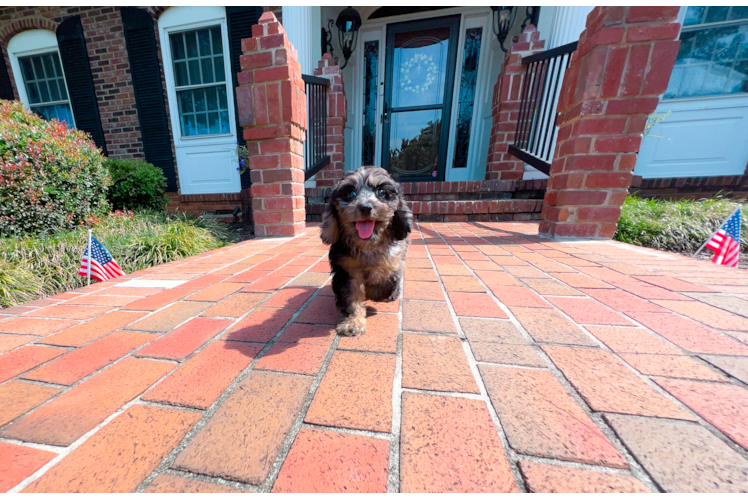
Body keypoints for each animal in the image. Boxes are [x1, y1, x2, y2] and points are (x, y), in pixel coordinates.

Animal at [318, 167, 412, 336]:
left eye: (381, 192)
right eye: (351, 193)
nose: (366, 207)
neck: (368, 245)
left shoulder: (394, 259)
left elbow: (387, 280)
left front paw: (372, 291)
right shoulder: (345, 270)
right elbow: (351, 298)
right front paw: (353, 323)